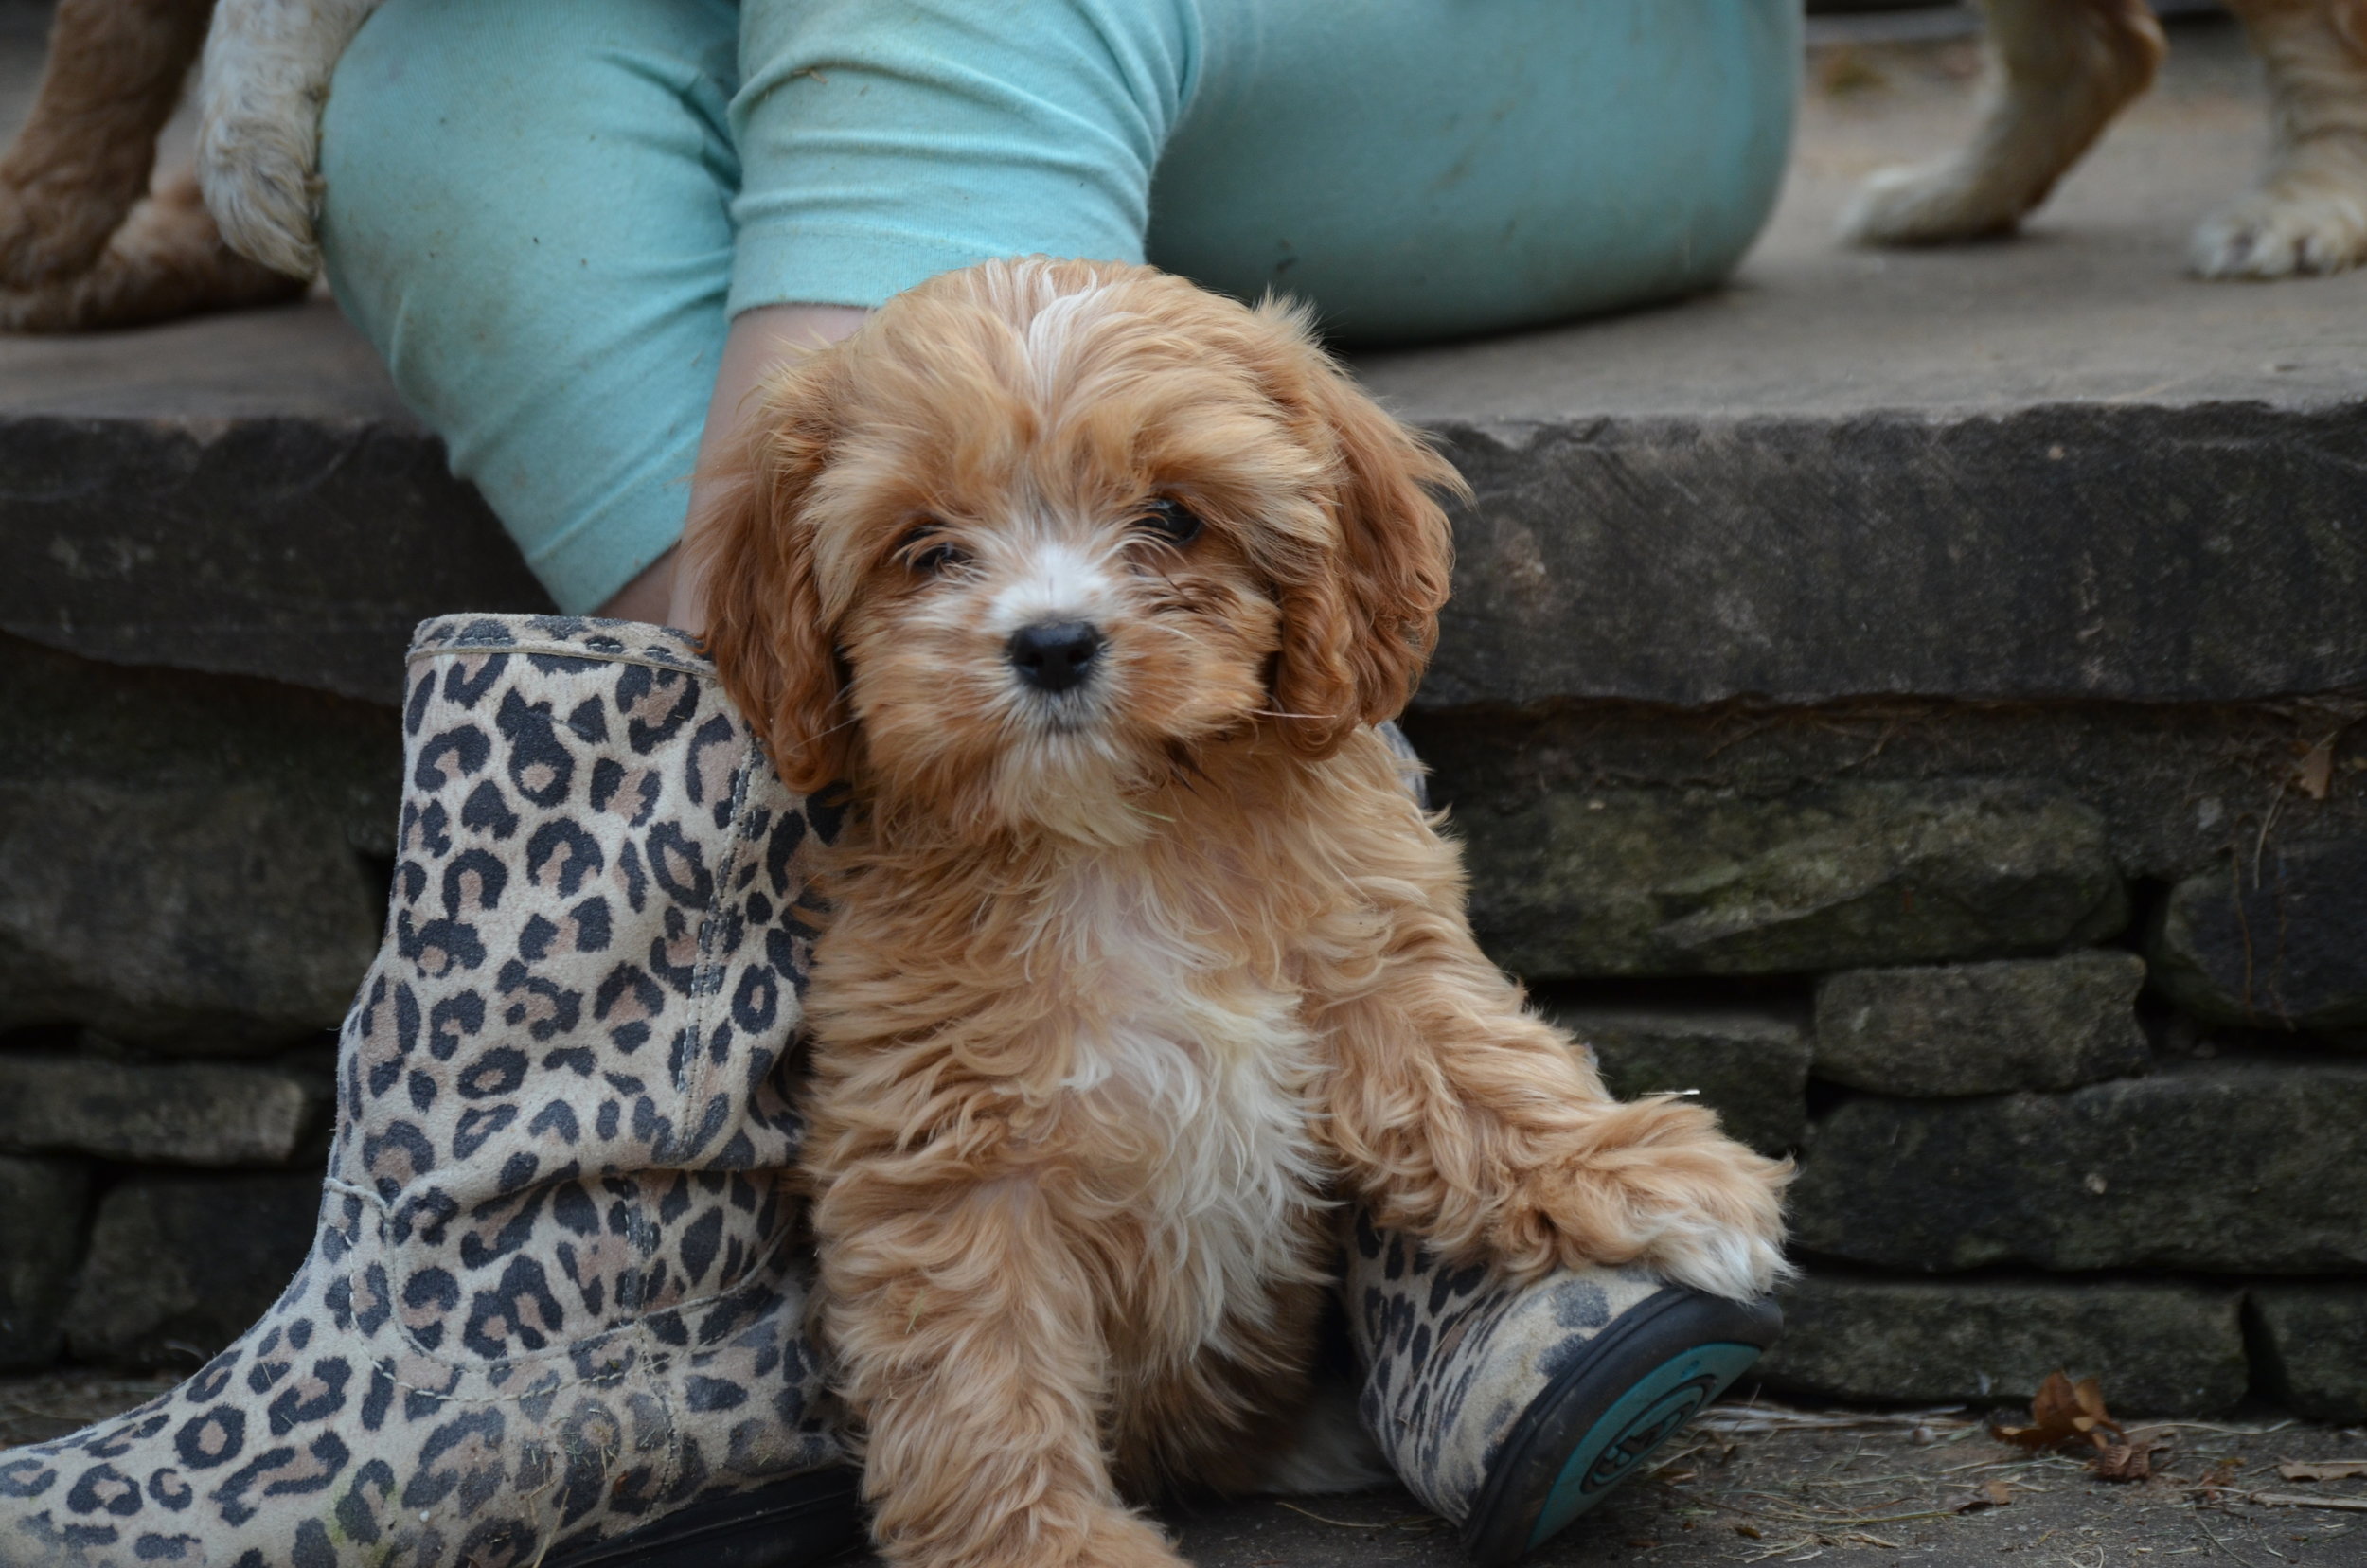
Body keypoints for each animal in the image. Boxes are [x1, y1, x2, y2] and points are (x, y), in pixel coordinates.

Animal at [701, 254, 1789, 1568]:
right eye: (925, 547)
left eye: (1173, 517)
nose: (1052, 643)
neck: (1117, 837)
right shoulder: (946, 1148)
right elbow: (980, 1367)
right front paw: (1049, 1548)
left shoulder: (1365, 957)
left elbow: (1475, 1062)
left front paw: (1644, 1175)